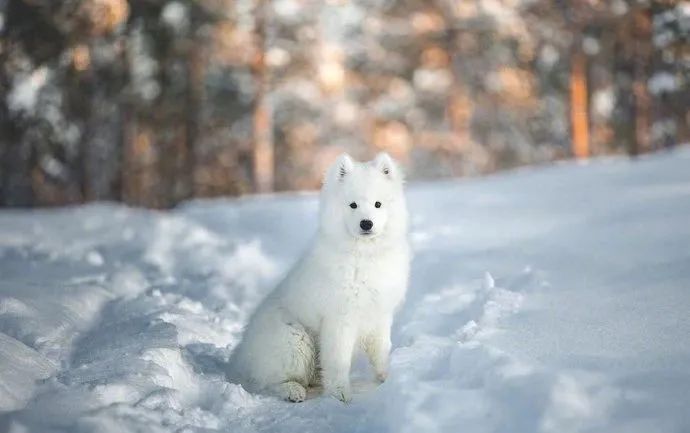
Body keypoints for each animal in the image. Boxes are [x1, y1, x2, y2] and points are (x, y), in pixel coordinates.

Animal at [226, 152, 408, 402]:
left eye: (377, 204)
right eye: (353, 205)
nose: (366, 223)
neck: (363, 256)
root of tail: (240, 359)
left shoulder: (380, 315)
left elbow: (381, 351)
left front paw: (387, 379)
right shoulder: (340, 319)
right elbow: (338, 361)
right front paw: (341, 395)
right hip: (295, 341)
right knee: (267, 382)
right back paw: (293, 391)